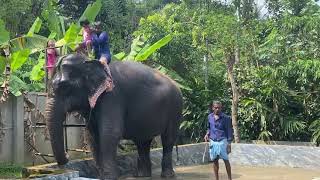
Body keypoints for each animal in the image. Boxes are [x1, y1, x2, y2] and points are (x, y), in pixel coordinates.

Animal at [46, 53, 184, 180]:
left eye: (65, 87)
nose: (67, 157)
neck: (90, 61)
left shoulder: (112, 96)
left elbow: (109, 133)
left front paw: (110, 177)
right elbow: (92, 136)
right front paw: (103, 177)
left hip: (175, 108)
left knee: (168, 139)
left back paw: (167, 175)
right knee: (142, 142)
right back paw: (142, 175)